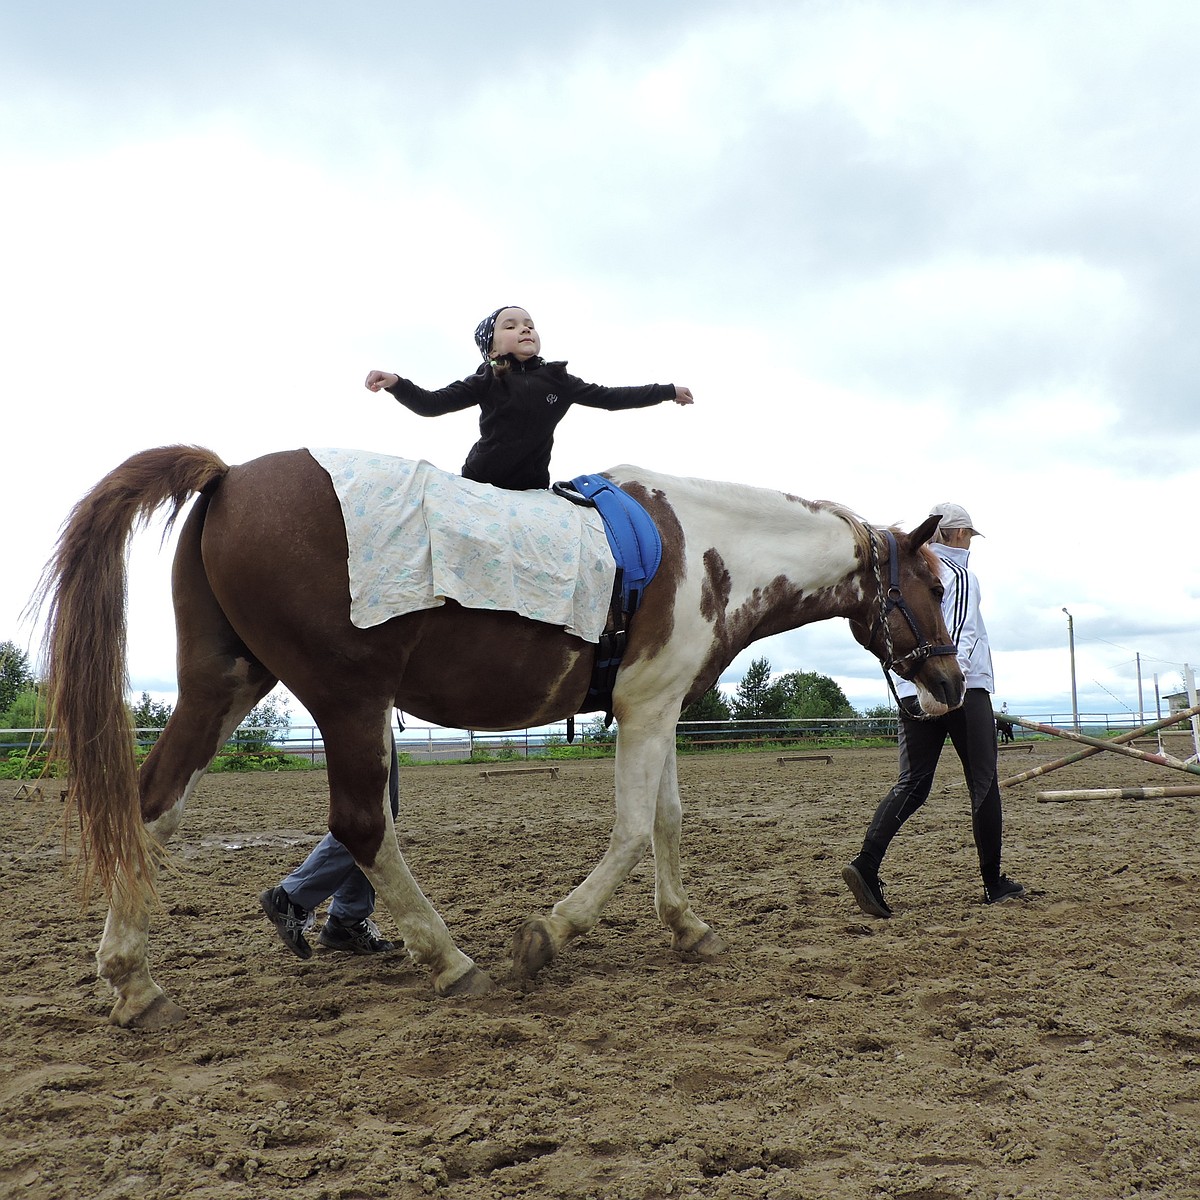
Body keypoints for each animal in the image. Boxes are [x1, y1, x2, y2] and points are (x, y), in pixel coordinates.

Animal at [37, 446, 964, 1027]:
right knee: (363, 827)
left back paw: (134, 984)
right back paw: (451, 960)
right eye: (932, 584)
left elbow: (666, 823)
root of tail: (230, 477)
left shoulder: (660, 708)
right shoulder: (647, 706)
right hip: (347, 698)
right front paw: (549, 934)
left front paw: (686, 926)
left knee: (152, 808)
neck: (705, 546)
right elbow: (633, 830)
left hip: (224, 683)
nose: (953, 686)